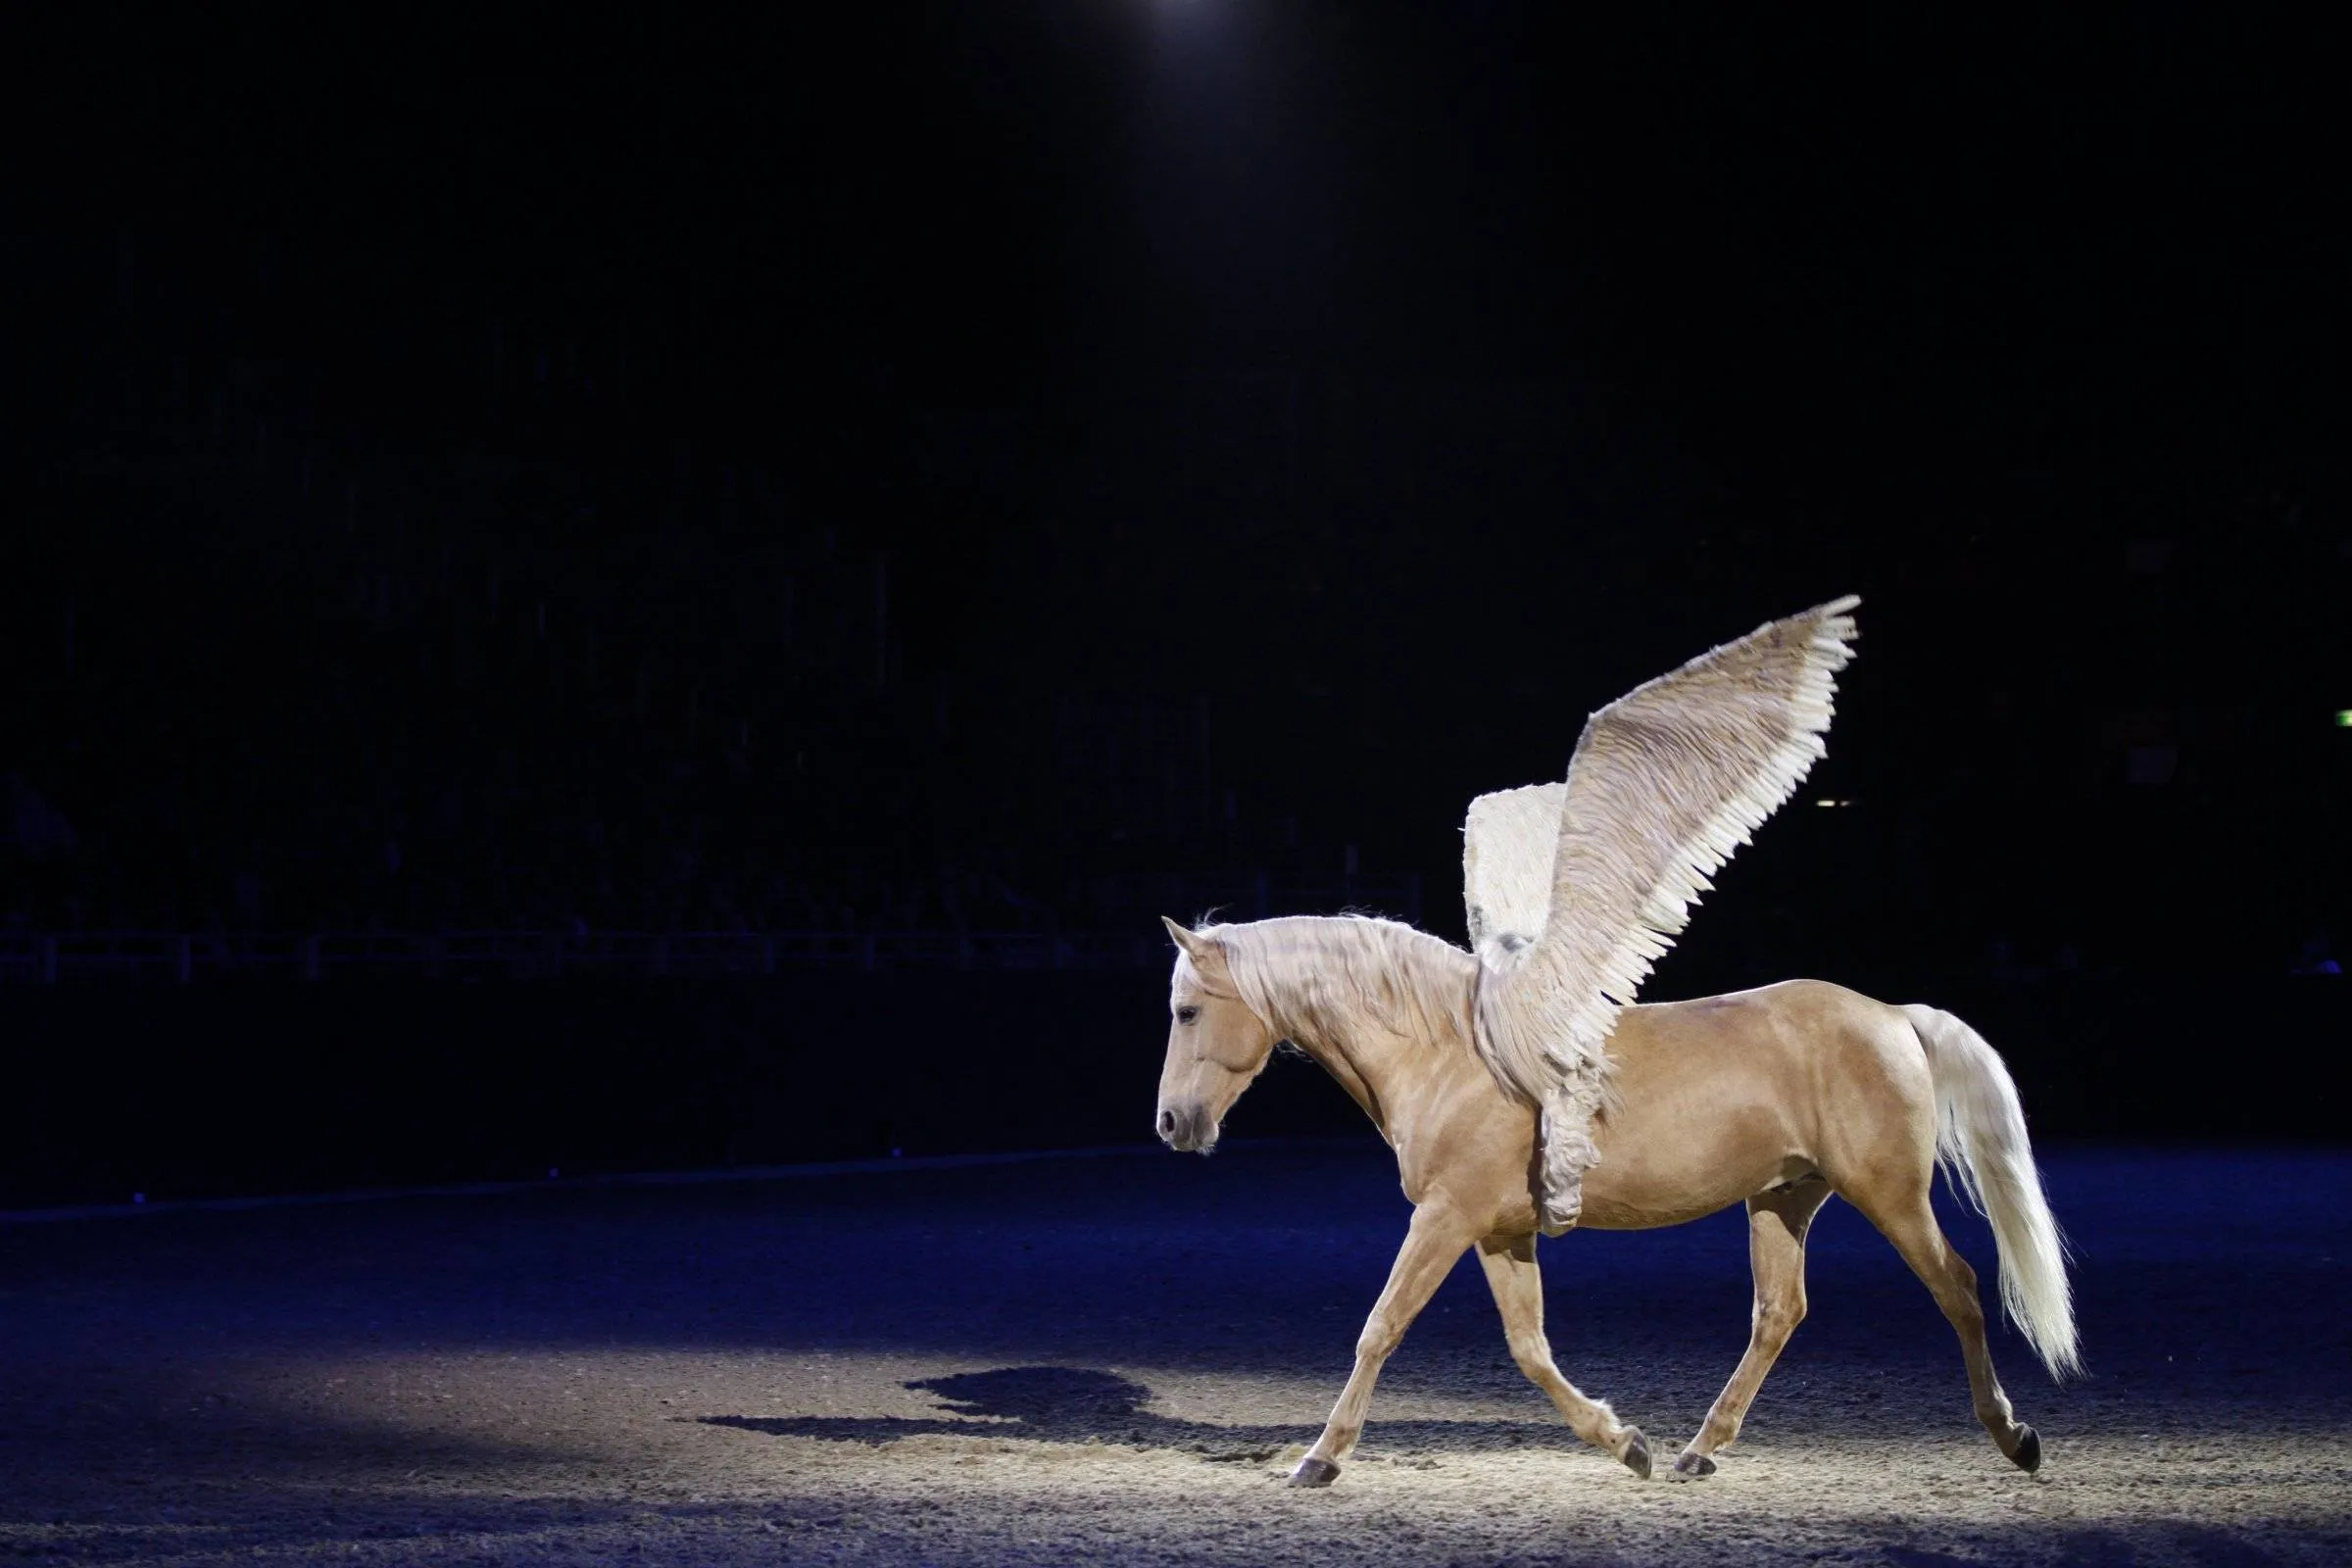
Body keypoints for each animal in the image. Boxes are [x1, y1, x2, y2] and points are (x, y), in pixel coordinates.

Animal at [1153, 913, 2076, 1489]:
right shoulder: (1497, 1234)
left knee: (1958, 1288)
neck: (1451, 1050)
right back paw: (1699, 1451)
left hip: (1888, 1195)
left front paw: (1320, 1459)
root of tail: (1890, 1013)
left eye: (1188, 1010)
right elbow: (1530, 1348)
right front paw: (1625, 1443)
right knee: (1779, 1312)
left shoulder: (1444, 1218)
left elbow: (1380, 1328)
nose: (1171, 1122)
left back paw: (2014, 1437)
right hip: (1784, 1199)